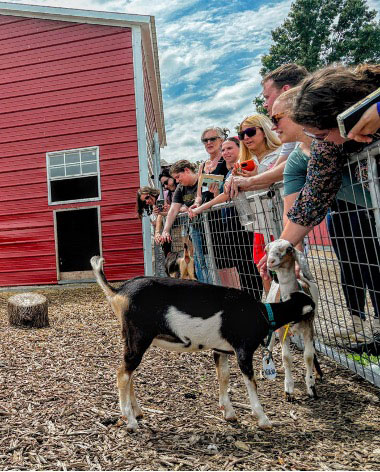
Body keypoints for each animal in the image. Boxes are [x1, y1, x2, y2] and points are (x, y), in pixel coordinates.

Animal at [90, 254, 314, 432]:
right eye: (311, 310)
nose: (309, 333)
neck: (262, 312)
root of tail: (118, 291)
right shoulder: (243, 350)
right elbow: (251, 383)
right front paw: (263, 419)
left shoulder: (221, 350)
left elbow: (223, 377)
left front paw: (229, 412)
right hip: (138, 337)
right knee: (122, 374)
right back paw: (130, 422)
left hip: (131, 339)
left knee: (129, 374)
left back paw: (137, 412)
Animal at [266, 238, 322, 400]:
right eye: (266, 249)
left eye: (289, 249)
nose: (270, 261)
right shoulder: (281, 330)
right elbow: (286, 358)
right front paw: (289, 389)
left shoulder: (308, 327)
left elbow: (308, 356)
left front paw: (311, 386)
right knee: (269, 345)